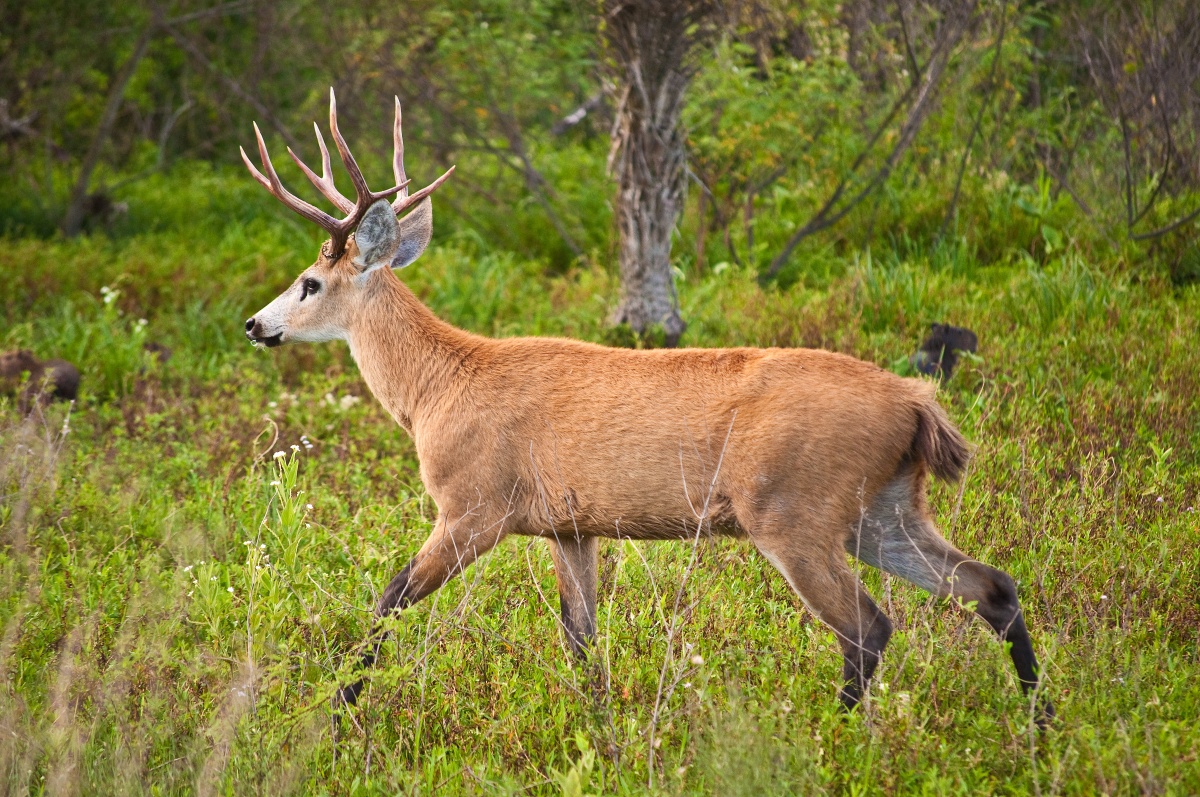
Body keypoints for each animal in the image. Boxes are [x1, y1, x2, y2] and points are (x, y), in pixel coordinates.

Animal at [241, 89, 1055, 725]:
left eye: (311, 281)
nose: (254, 324)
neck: (438, 386)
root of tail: (917, 402)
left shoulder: (475, 504)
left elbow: (388, 598)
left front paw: (335, 715)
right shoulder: (569, 526)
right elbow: (581, 638)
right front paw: (595, 727)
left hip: (793, 509)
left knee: (869, 626)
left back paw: (838, 737)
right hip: (883, 508)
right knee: (992, 585)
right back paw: (1041, 725)